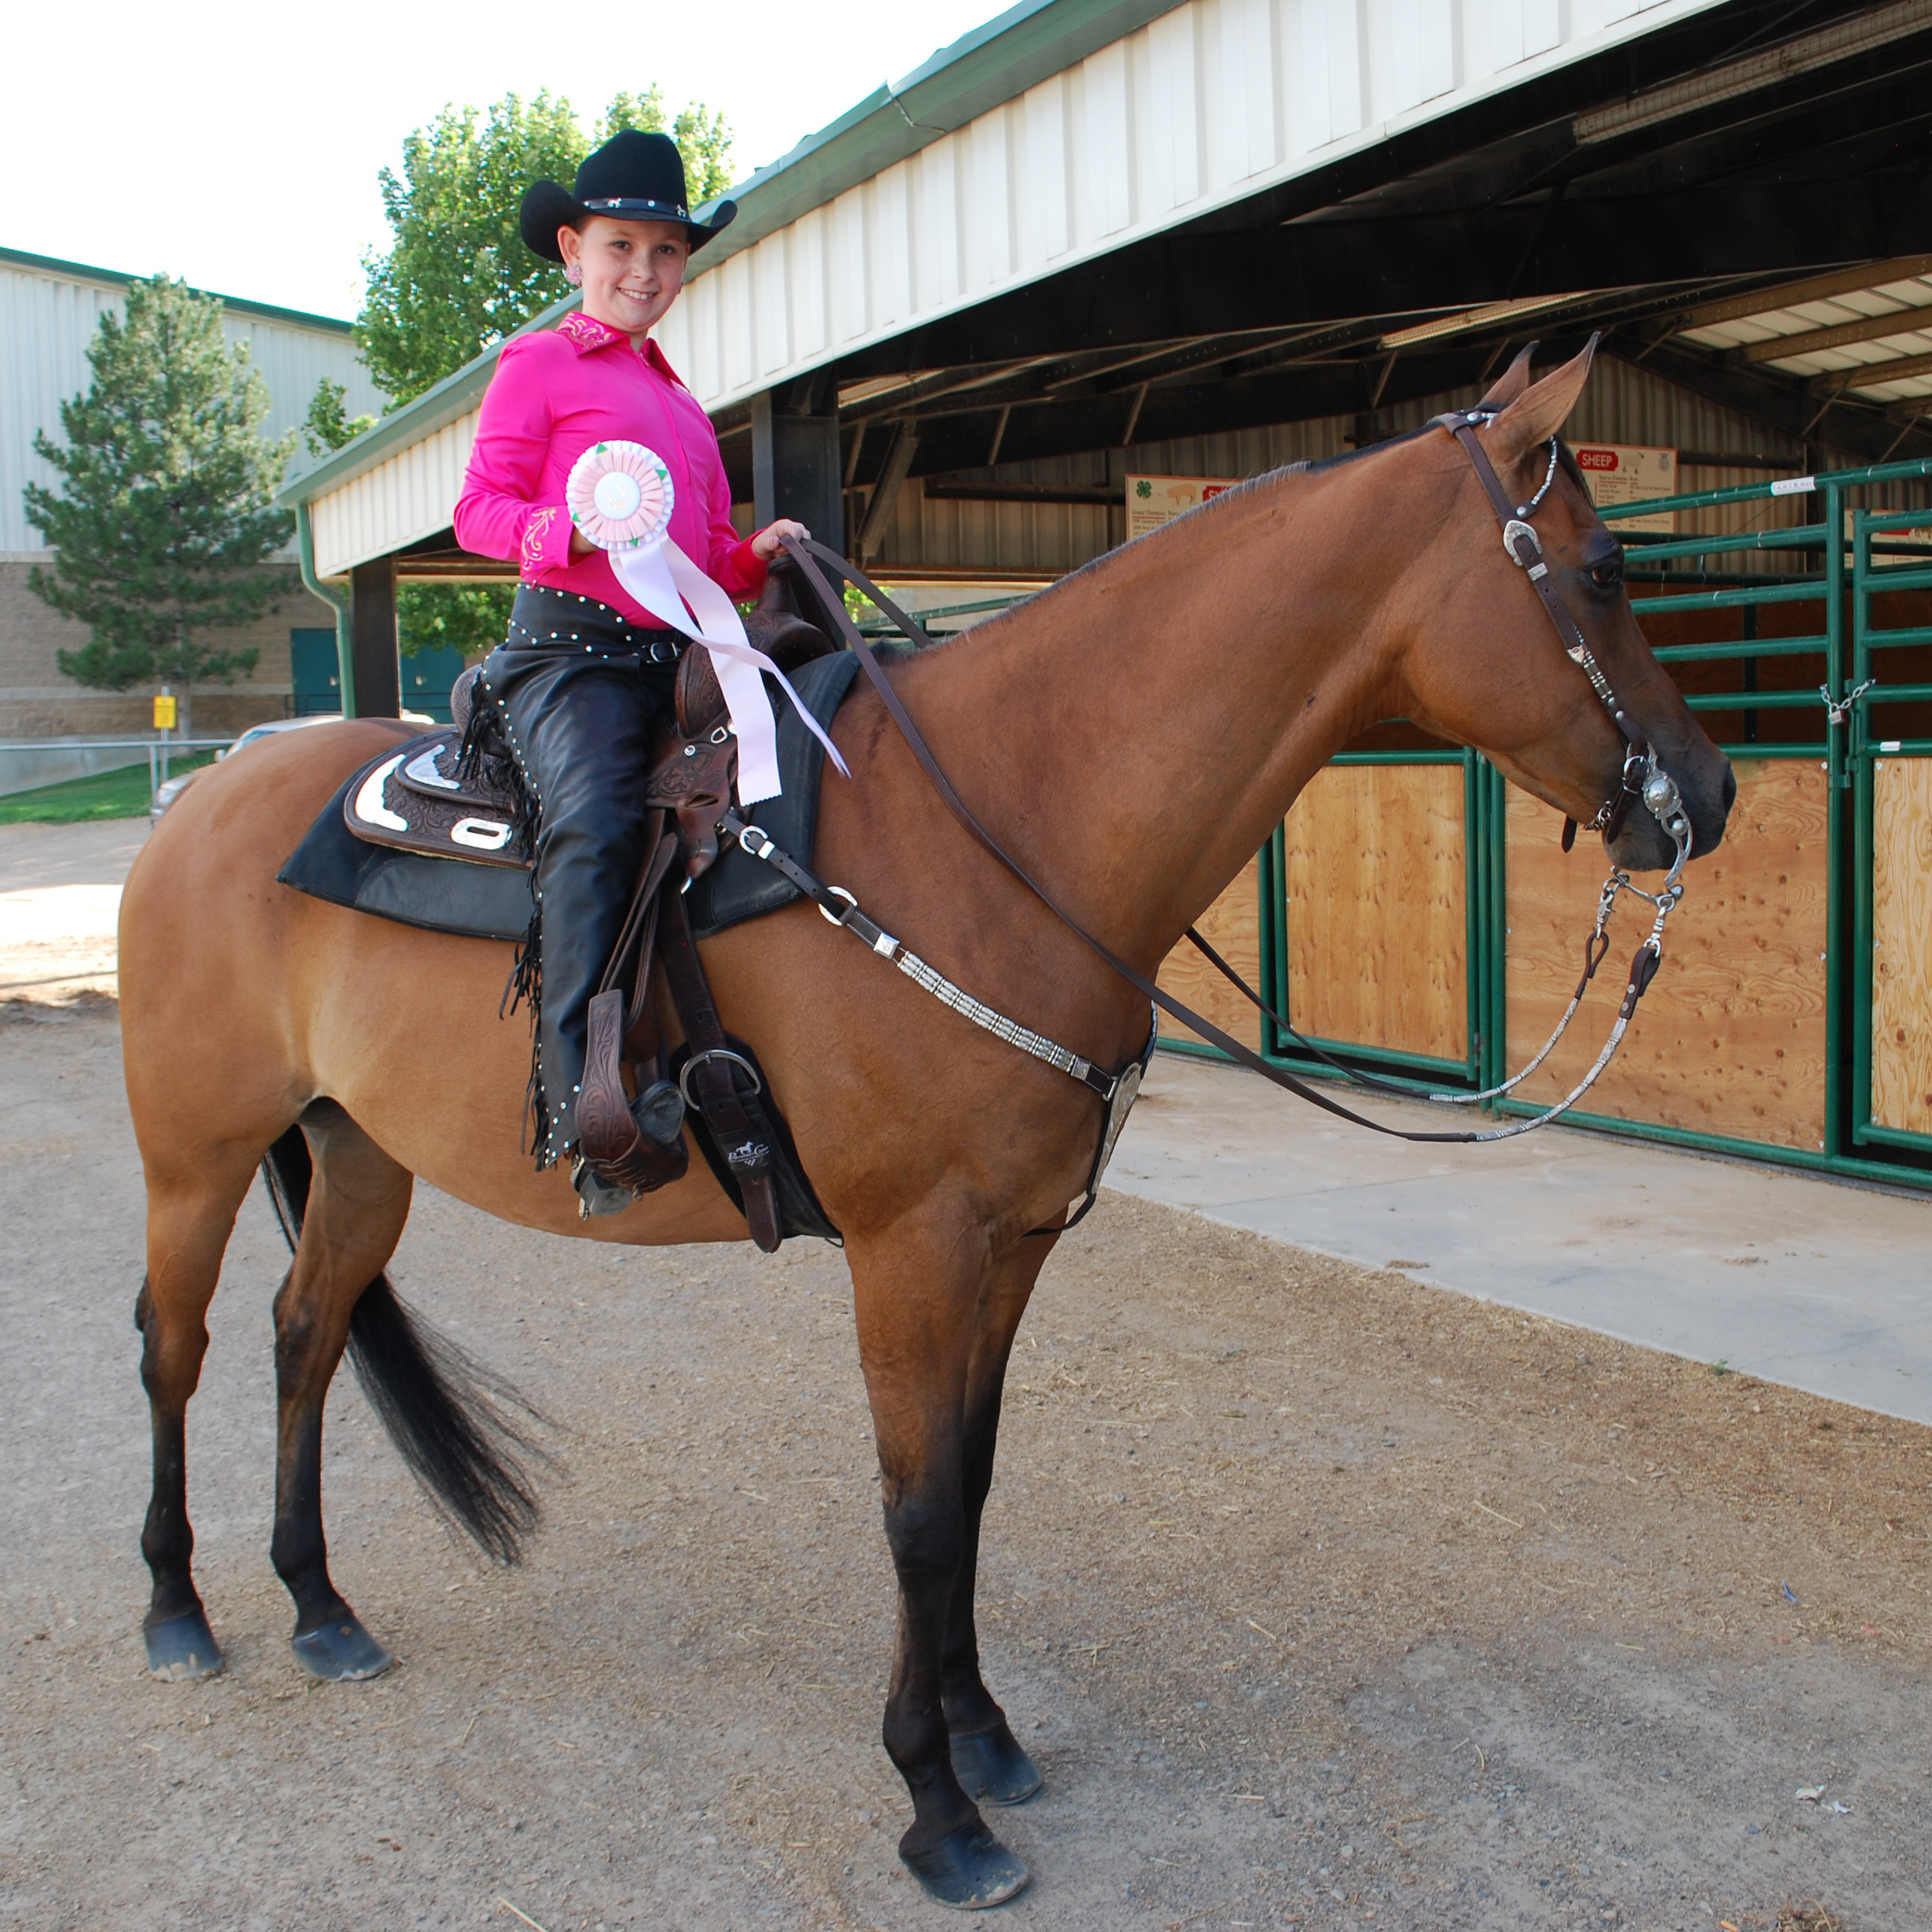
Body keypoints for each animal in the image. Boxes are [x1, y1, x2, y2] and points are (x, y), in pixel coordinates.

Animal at [115, 343, 1732, 1906]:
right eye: (1607, 573)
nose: (1707, 793)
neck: (1000, 832)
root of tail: (200, 800)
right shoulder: (910, 1248)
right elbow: (915, 1510)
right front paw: (937, 1809)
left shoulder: (1009, 1243)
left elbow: (972, 1482)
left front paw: (986, 1735)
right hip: (193, 1158)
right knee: (174, 1345)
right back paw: (180, 1610)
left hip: (358, 1152)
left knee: (306, 1333)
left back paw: (320, 1607)